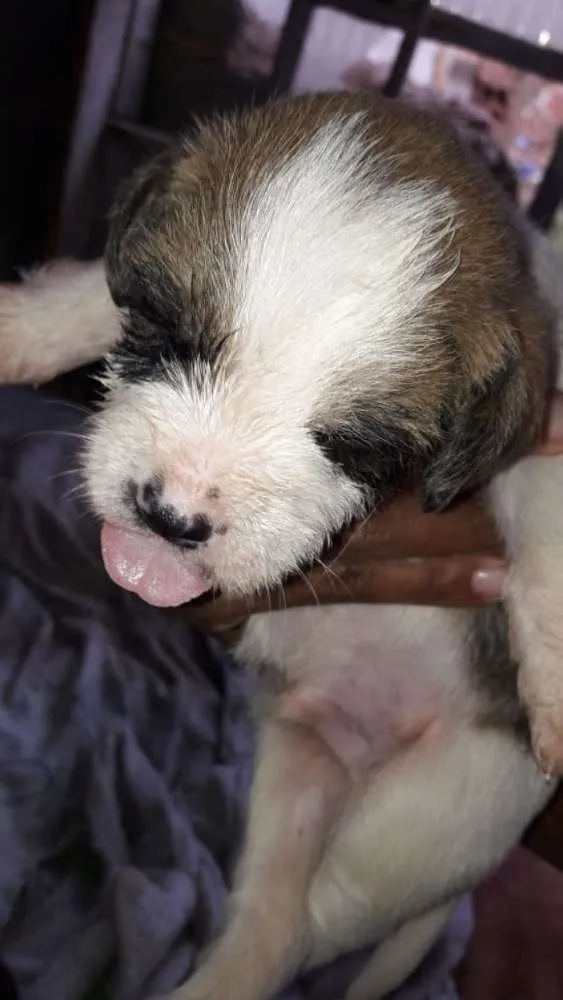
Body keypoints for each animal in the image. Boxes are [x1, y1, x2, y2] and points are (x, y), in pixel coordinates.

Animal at [1, 90, 563, 996]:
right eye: (168, 333)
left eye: (351, 444)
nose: (171, 517)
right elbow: (93, 287)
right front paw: (28, 326)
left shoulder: (543, 426)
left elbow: (546, 512)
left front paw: (553, 677)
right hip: (294, 781)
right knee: (267, 930)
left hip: (426, 819)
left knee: (320, 920)